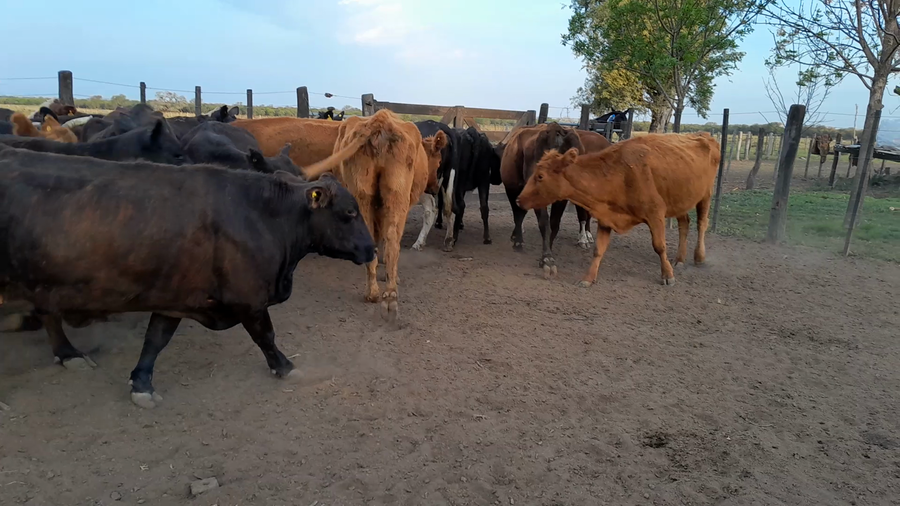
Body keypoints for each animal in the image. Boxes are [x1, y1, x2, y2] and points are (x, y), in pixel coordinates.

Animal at [0, 146, 375, 408]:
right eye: (349, 212)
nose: (371, 249)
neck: (263, 215)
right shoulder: (249, 298)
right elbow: (265, 336)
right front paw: (285, 367)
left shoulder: (174, 295)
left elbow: (155, 339)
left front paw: (141, 383)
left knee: (48, 313)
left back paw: (68, 354)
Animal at [303, 109, 447, 324]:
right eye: (438, 163)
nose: (435, 188)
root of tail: (380, 121)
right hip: (395, 197)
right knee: (393, 240)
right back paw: (388, 292)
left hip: (365, 195)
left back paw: (376, 292)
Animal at [500, 123, 611, 278]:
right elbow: (543, 222)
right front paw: (547, 258)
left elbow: (554, 223)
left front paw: (548, 253)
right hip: (512, 186)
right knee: (518, 214)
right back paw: (518, 240)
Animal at [516, 133, 720, 286]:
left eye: (540, 176)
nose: (519, 199)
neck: (620, 173)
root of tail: (705, 136)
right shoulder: (606, 216)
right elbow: (598, 250)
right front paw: (588, 278)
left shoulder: (655, 214)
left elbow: (660, 246)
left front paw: (667, 275)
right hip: (679, 199)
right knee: (684, 223)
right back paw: (679, 259)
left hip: (706, 194)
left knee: (701, 223)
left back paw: (699, 256)